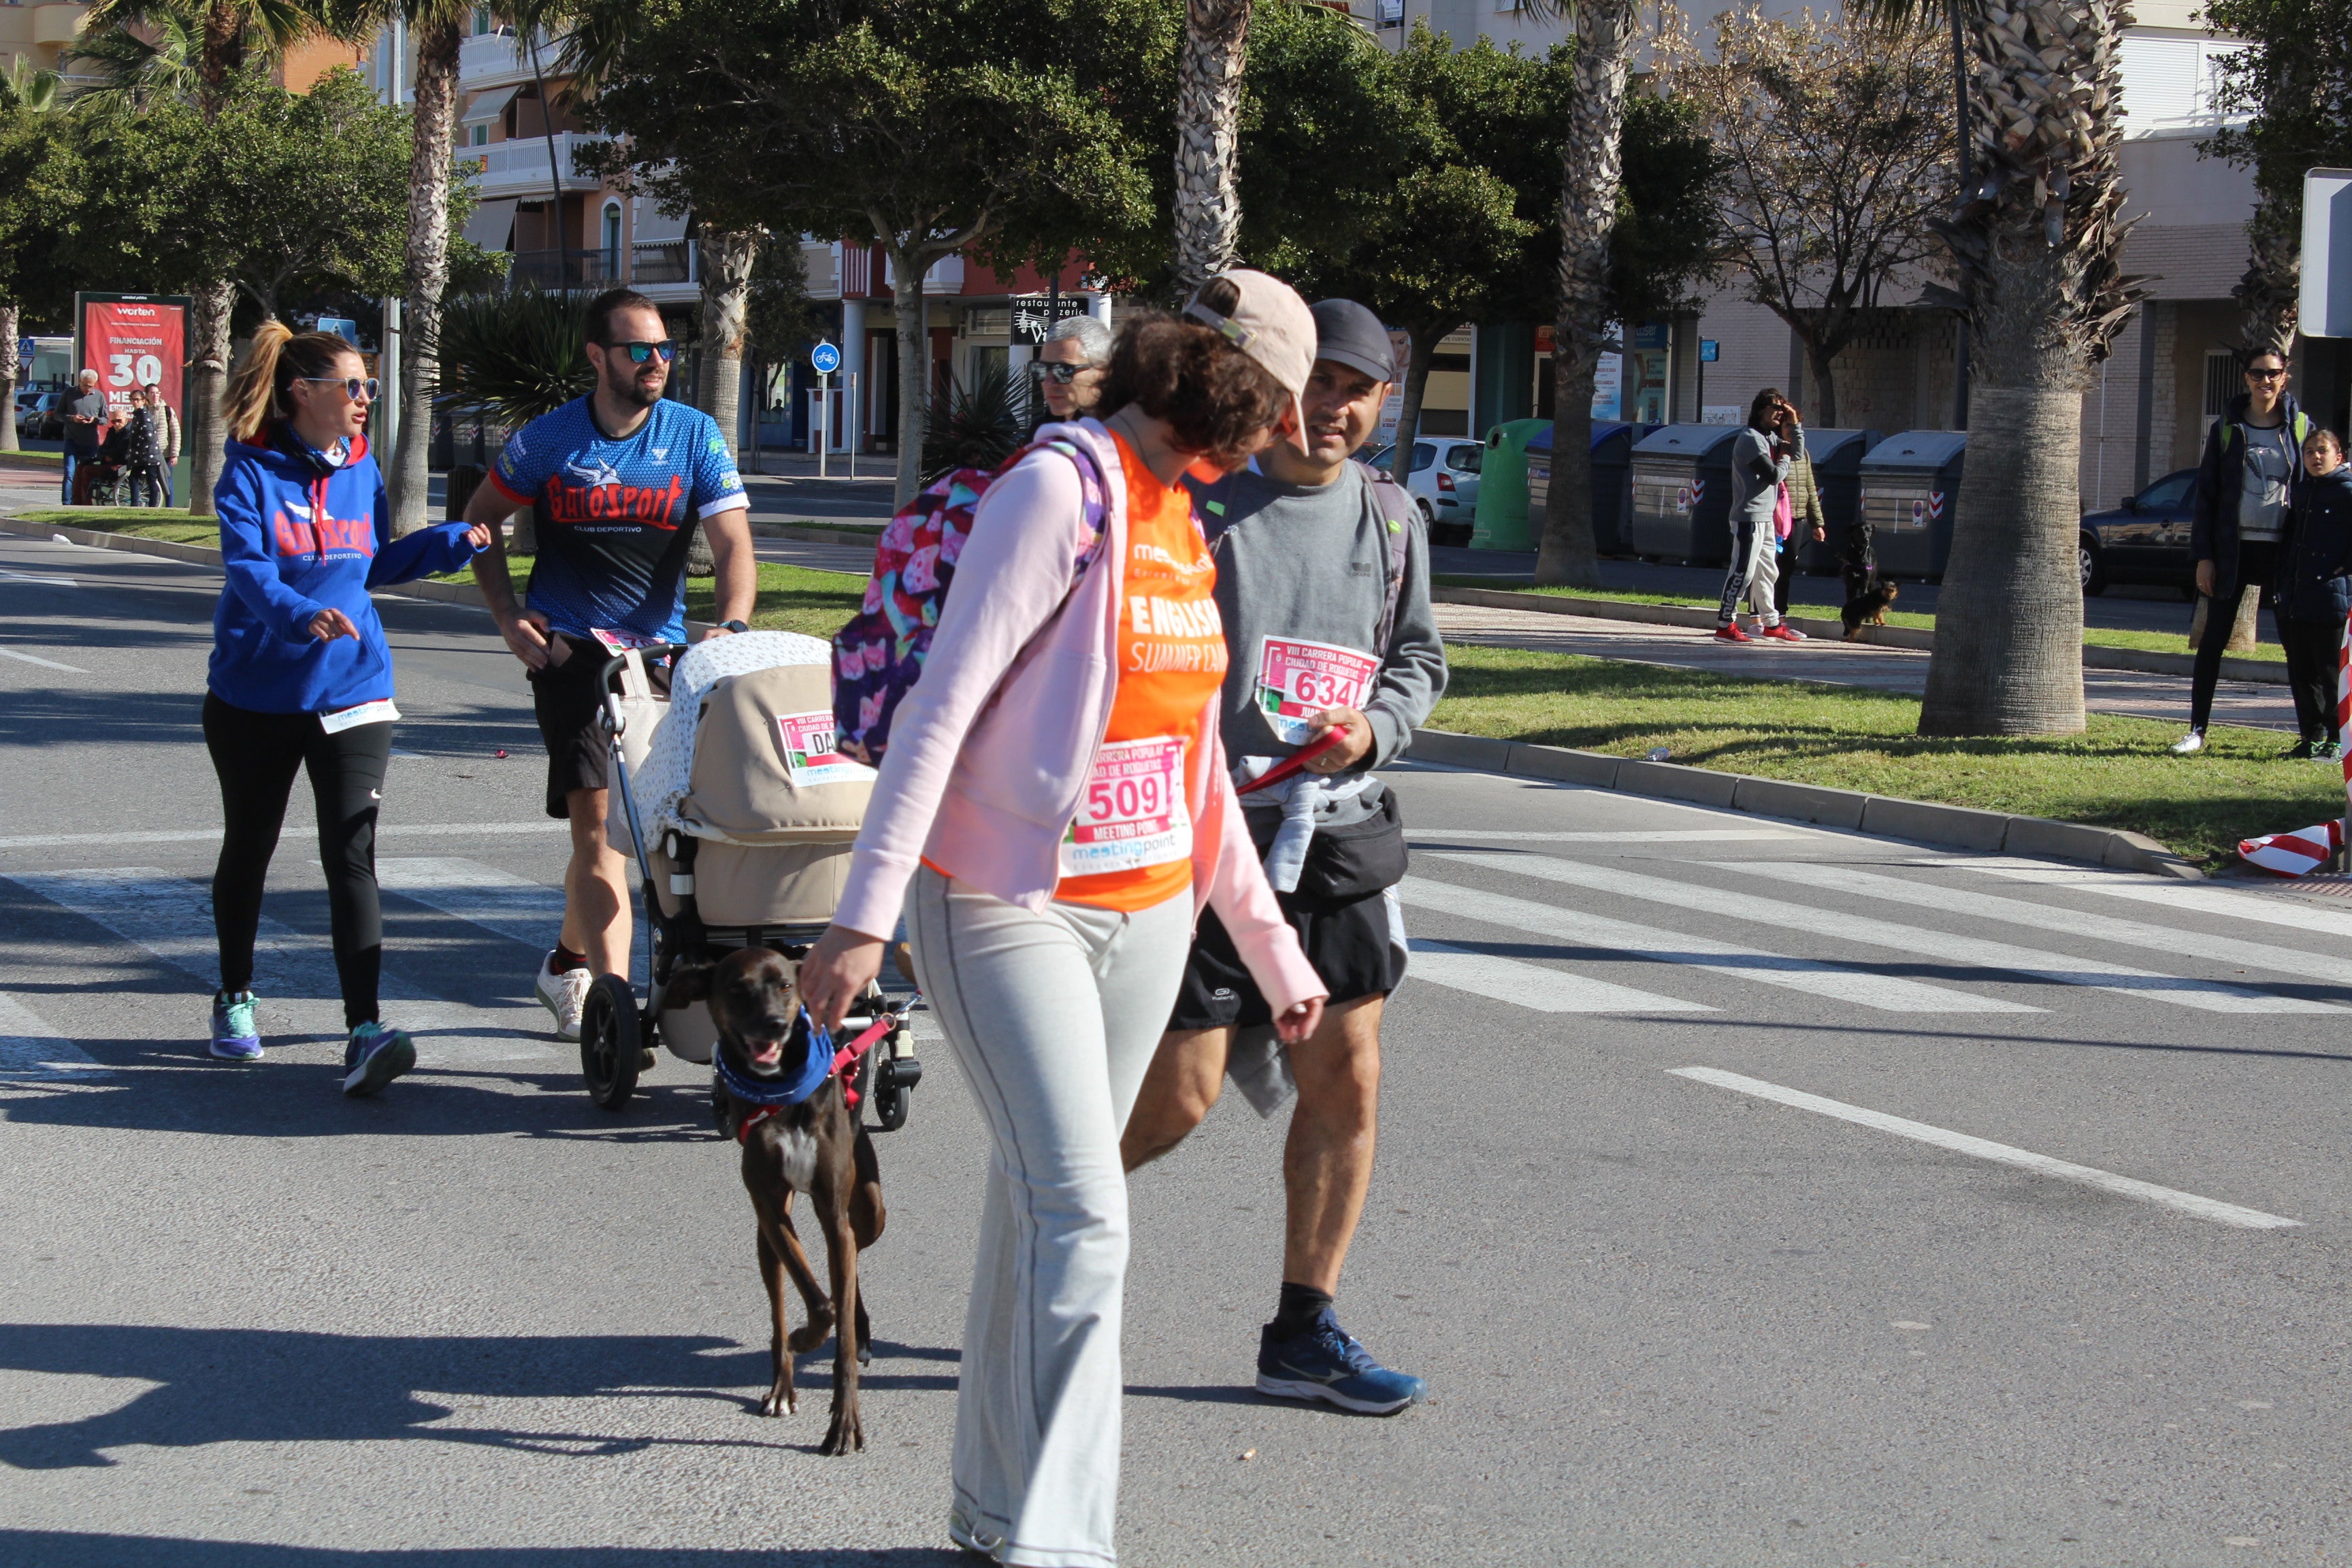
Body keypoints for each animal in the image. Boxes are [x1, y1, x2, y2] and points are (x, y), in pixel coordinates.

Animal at [668, 940, 884, 1457]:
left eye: (787, 986)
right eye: (736, 989)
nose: (774, 1025)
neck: (782, 1094)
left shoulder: (834, 1211)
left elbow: (841, 1325)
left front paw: (845, 1423)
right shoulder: (769, 1206)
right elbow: (818, 1304)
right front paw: (804, 1338)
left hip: (869, 1210)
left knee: (853, 1261)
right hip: (767, 1240)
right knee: (782, 1305)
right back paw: (782, 1383)